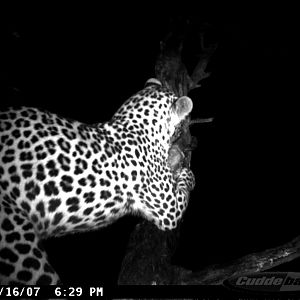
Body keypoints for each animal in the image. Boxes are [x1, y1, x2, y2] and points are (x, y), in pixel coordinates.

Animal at [0, 78, 195, 284]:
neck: (130, 126)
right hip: (20, 242)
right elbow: (185, 184)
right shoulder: (169, 209)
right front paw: (187, 172)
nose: (184, 135)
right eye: (182, 124)